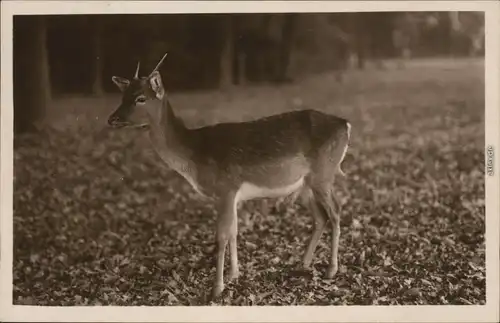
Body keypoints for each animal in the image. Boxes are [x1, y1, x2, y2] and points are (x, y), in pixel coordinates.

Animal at [108, 53, 352, 302]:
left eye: (140, 98)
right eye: (123, 96)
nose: (112, 119)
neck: (195, 154)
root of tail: (346, 124)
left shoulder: (225, 187)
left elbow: (222, 236)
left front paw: (217, 288)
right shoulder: (232, 195)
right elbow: (234, 231)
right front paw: (234, 275)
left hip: (323, 174)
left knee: (335, 211)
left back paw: (331, 269)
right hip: (305, 184)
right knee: (320, 217)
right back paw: (303, 263)